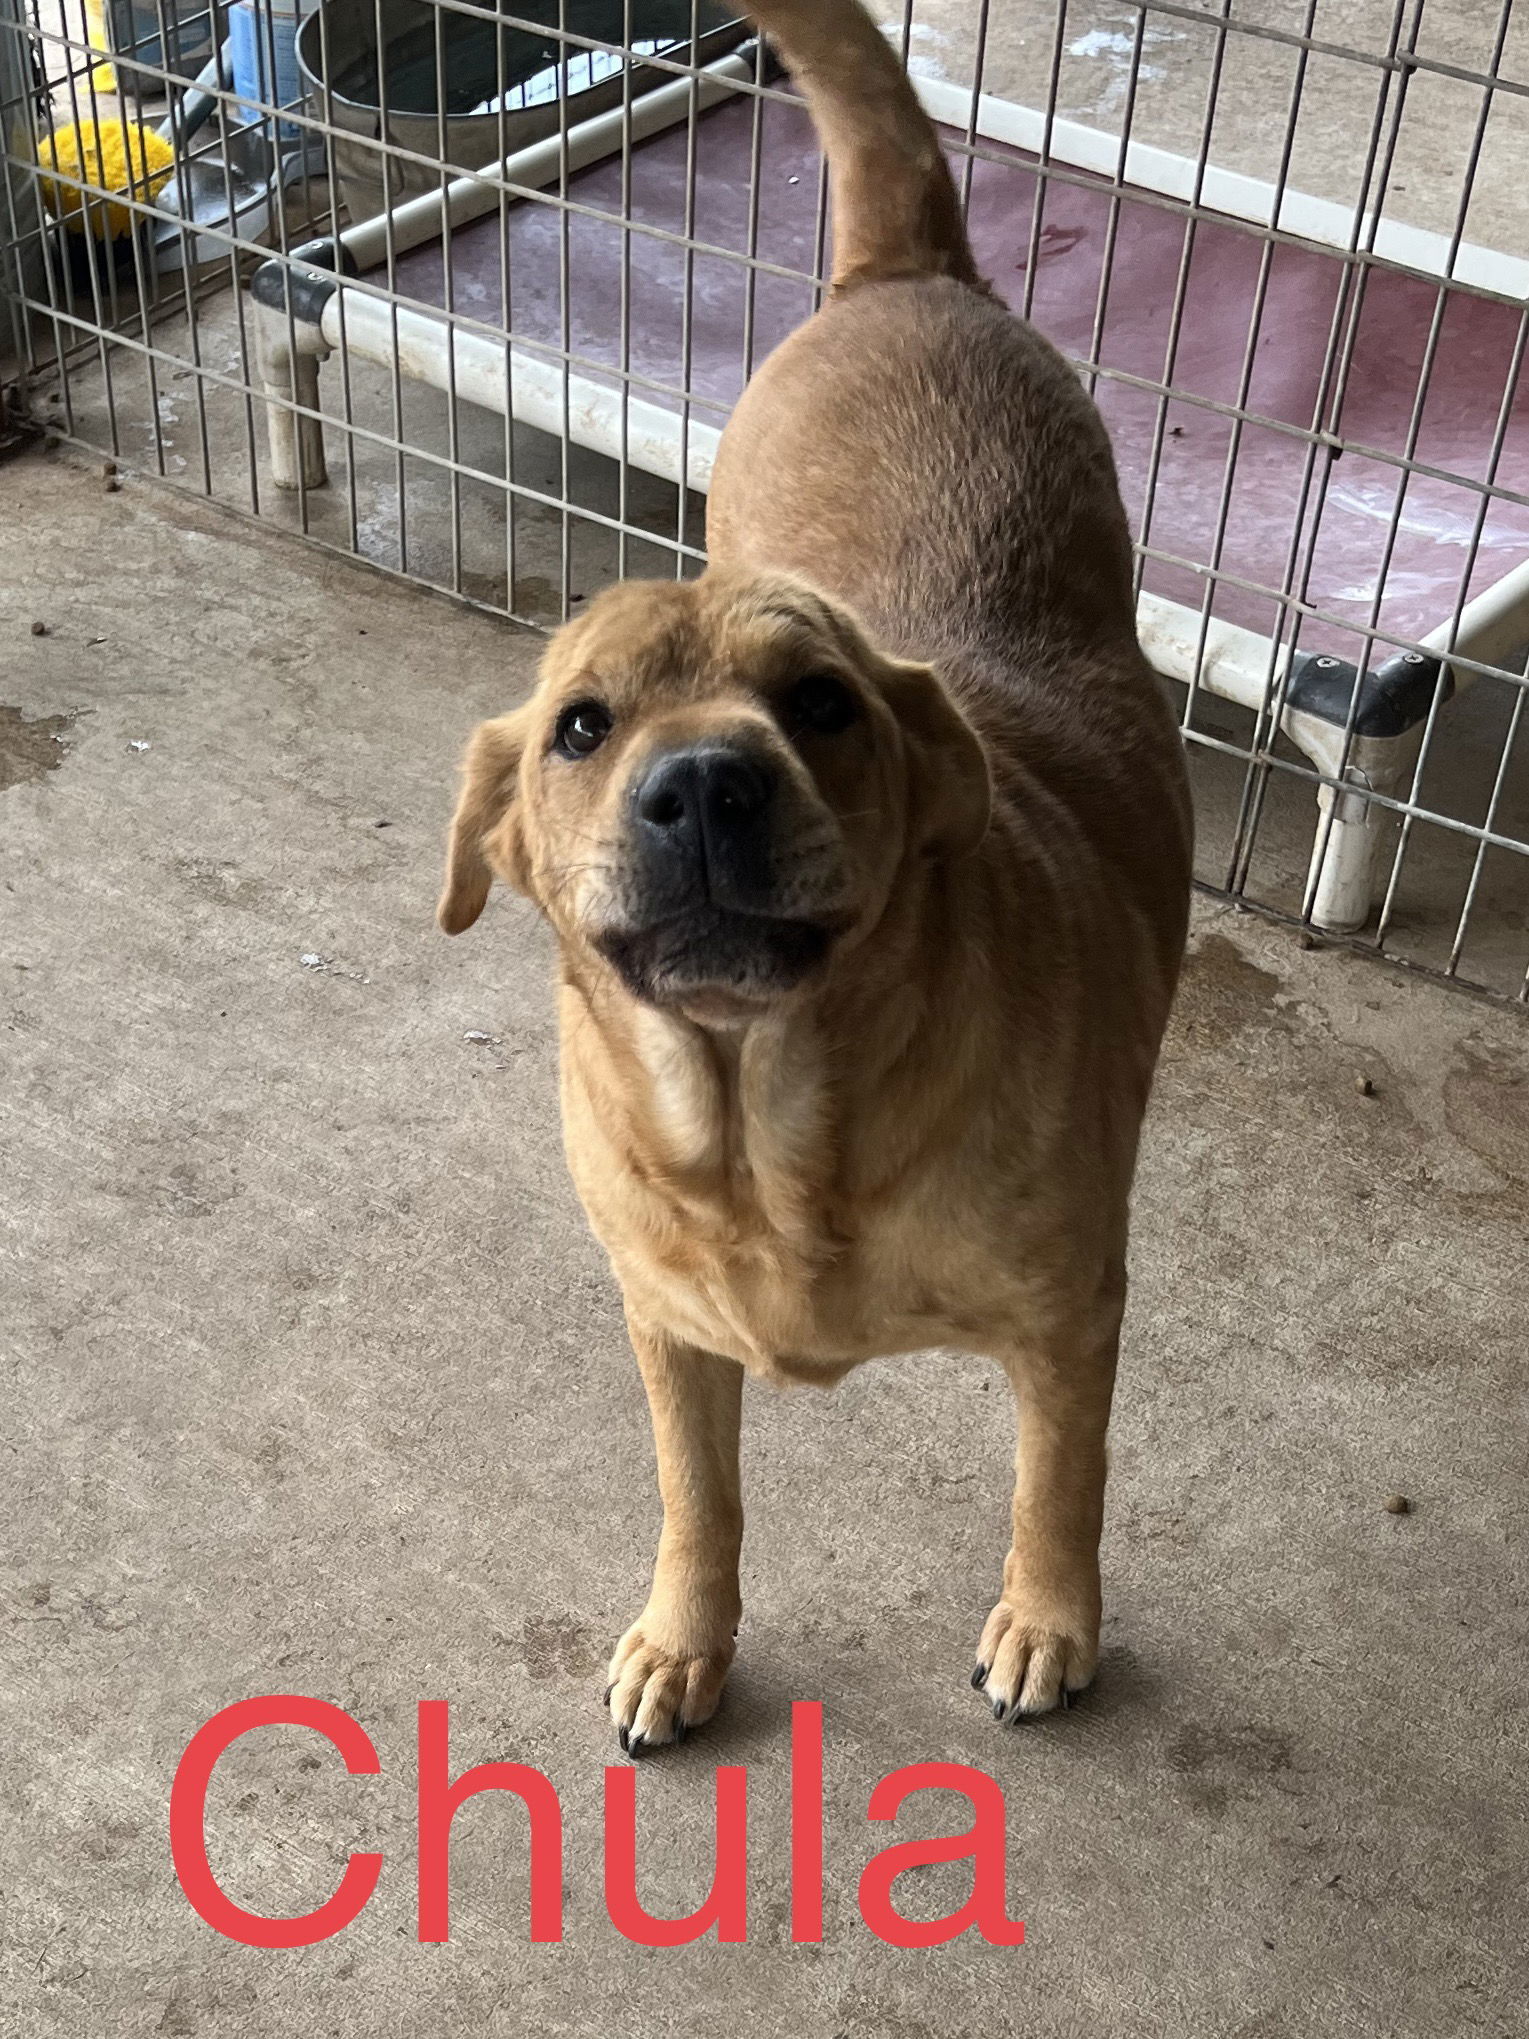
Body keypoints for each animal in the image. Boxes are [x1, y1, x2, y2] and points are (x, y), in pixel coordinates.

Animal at [436, 0, 1190, 1753]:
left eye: (824, 701)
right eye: (582, 726)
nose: (705, 781)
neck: (772, 1127)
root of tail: (902, 274)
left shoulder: (1072, 1316)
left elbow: (1060, 1478)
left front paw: (1049, 1617)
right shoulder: (665, 1326)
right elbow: (696, 1498)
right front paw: (683, 1638)